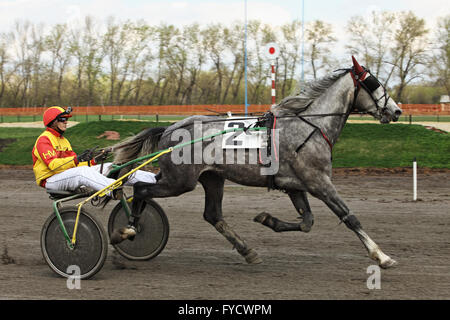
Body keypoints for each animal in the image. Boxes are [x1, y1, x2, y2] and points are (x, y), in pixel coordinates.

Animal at [110, 57, 402, 268]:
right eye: (374, 83)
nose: (396, 110)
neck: (310, 126)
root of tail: (170, 128)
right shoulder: (319, 182)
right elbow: (349, 216)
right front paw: (382, 256)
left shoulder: (295, 185)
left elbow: (307, 222)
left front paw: (267, 219)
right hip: (181, 181)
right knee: (141, 190)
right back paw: (129, 230)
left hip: (209, 178)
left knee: (211, 214)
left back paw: (247, 250)